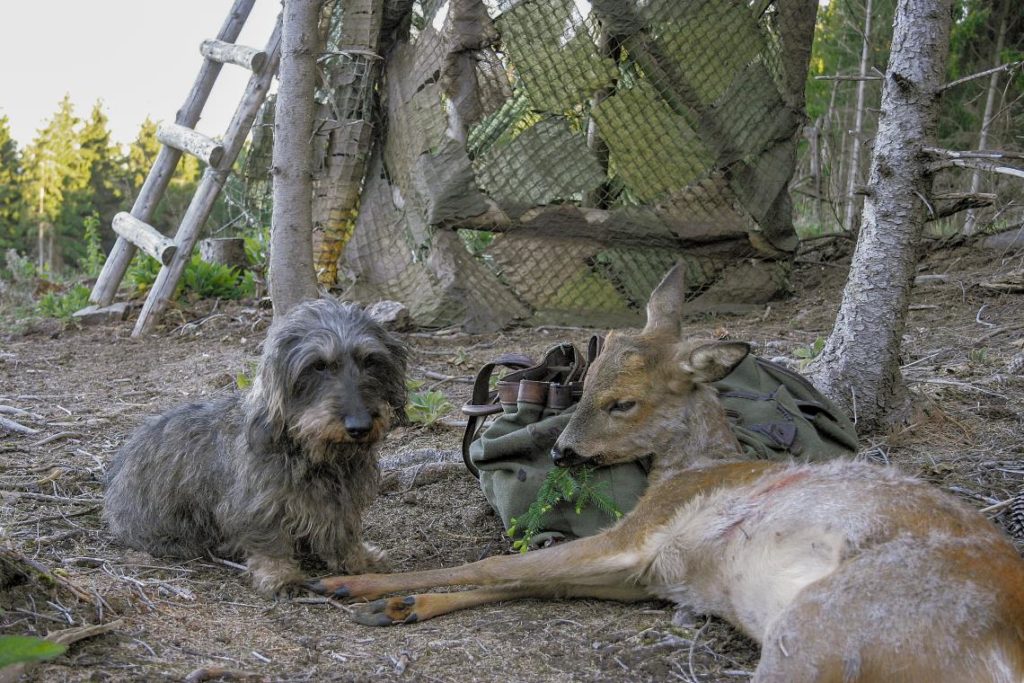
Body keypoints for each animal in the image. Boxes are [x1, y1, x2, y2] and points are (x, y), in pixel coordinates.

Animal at [309, 266, 1024, 683]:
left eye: (623, 402)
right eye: (585, 383)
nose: (562, 453)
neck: (692, 465)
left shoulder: (641, 534)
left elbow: (493, 564)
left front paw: (352, 583)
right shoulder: (645, 575)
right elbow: (528, 579)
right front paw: (398, 606)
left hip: (820, 635)